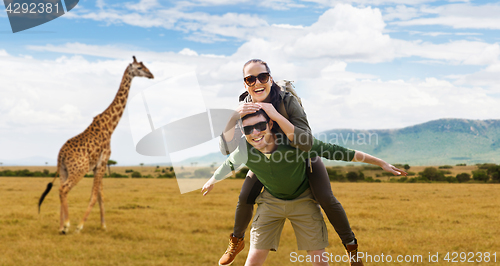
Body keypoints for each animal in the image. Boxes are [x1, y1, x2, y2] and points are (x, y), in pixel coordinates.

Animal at [37, 55, 152, 233]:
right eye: (139, 67)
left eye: (144, 65)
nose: (151, 75)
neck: (110, 126)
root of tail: (61, 154)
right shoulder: (103, 162)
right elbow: (93, 196)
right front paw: (80, 226)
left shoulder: (99, 165)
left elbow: (100, 195)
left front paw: (103, 225)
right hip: (79, 170)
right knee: (63, 189)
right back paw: (67, 225)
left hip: (63, 170)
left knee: (61, 189)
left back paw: (61, 226)